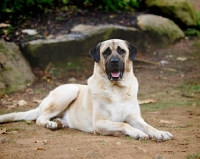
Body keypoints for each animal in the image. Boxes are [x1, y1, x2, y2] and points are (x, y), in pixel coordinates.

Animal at [0, 39, 173, 141]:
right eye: (106, 52)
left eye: (122, 51)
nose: (115, 62)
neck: (116, 89)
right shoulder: (100, 123)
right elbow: (123, 125)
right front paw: (137, 133)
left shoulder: (135, 118)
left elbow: (148, 126)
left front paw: (159, 132)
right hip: (69, 91)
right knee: (40, 118)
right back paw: (51, 124)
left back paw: (58, 122)